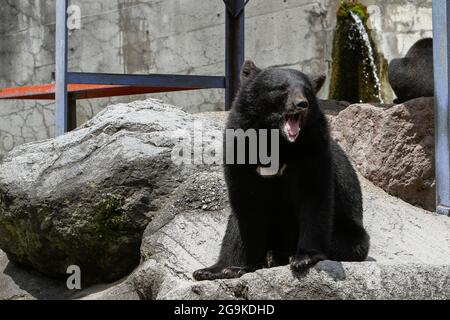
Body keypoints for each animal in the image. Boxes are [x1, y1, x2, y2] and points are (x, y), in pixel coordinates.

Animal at [193, 60, 370, 280]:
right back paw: (210, 270)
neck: (276, 141)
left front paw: (303, 258)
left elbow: (313, 197)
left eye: (306, 90)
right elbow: (246, 204)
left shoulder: (312, 150)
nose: (302, 104)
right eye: (281, 88)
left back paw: (279, 255)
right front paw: (238, 266)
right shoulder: (240, 148)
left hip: (348, 230)